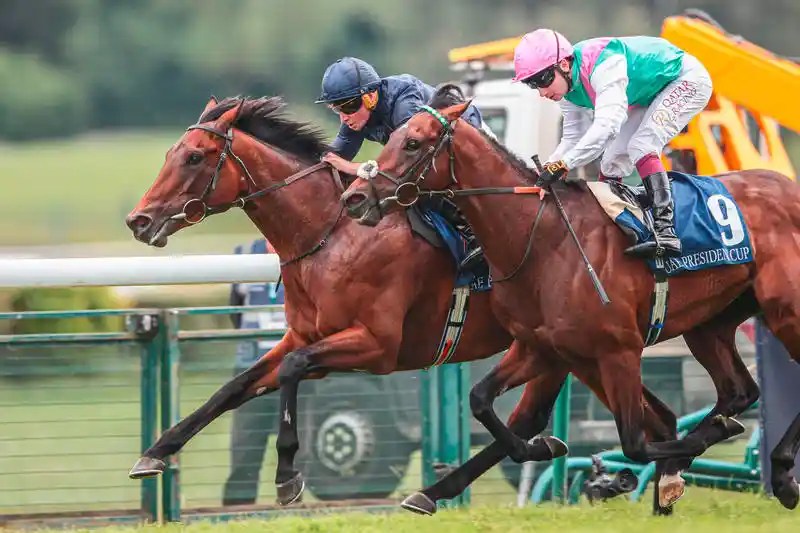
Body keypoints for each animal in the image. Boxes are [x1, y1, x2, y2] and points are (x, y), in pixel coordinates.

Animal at [340, 95, 799, 510]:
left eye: (412, 142)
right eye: (389, 137)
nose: (355, 198)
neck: (543, 239)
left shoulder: (619, 350)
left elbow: (635, 443)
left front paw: (625, 473)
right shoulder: (541, 346)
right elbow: (482, 400)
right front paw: (542, 450)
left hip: (785, 311)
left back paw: (776, 471)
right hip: (710, 324)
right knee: (738, 391)